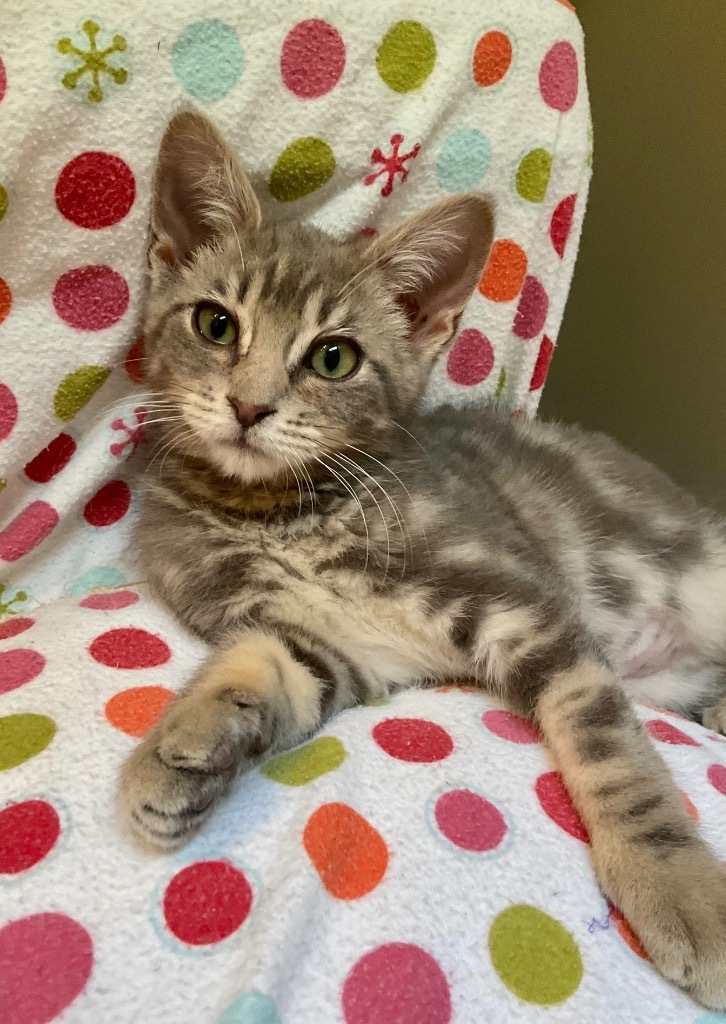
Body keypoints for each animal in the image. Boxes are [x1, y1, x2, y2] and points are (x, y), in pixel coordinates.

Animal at [121, 112, 724, 1007]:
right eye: (215, 325)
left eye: (333, 357)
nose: (249, 406)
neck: (282, 514)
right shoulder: (332, 645)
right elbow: (262, 665)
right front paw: (183, 744)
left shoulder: (525, 602)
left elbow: (612, 753)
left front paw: (677, 888)